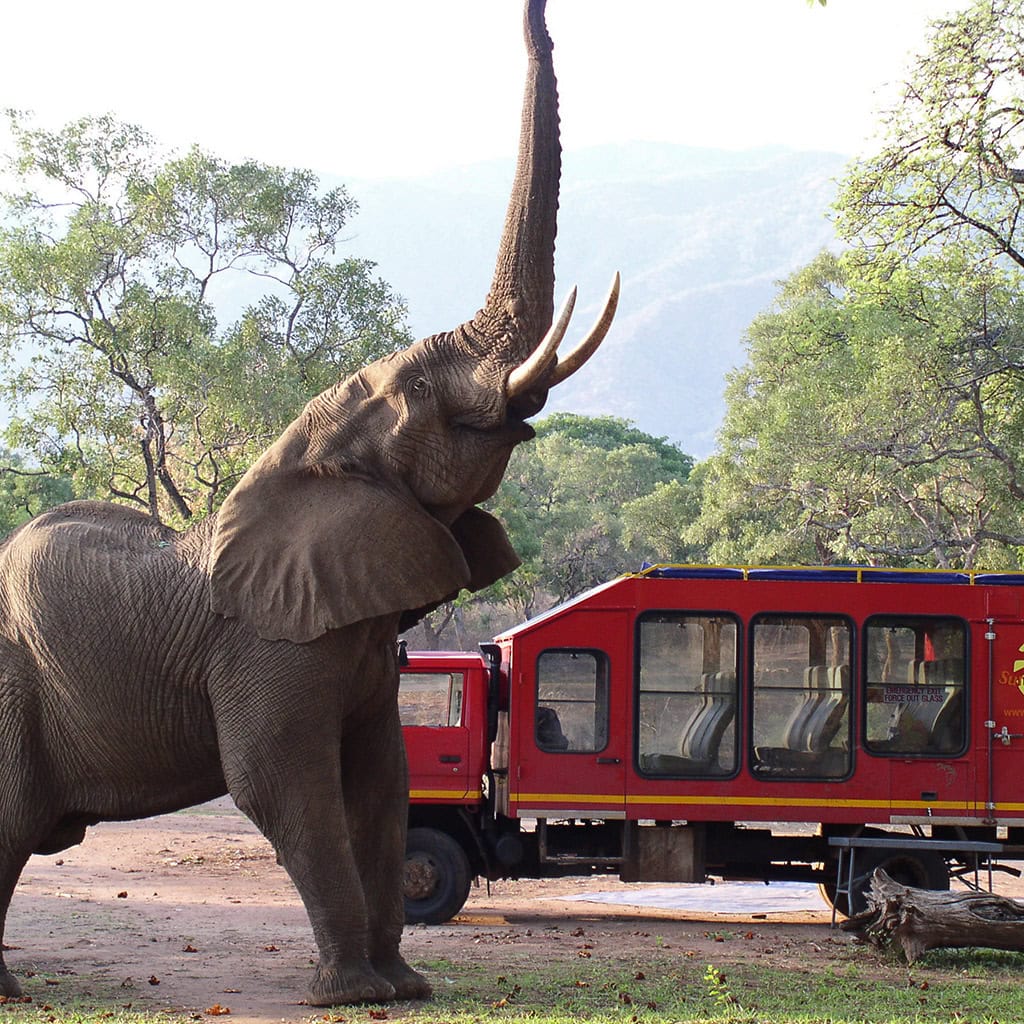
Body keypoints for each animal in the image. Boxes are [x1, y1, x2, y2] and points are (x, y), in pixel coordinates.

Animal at [0, 0, 618, 1009]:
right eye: (416, 388)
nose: (532, 14)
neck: (297, 464)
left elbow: (381, 782)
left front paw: (403, 987)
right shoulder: (265, 645)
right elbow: (284, 784)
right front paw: (355, 995)